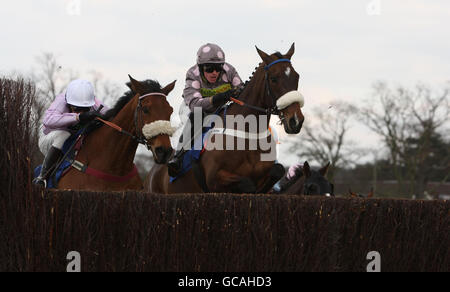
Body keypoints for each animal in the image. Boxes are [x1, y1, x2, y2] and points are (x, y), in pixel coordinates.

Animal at [148, 43, 306, 194]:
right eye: (274, 79)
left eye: (297, 77)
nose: (296, 121)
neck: (249, 134)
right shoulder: (213, 179)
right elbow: (247, 183)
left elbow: (278, 170)